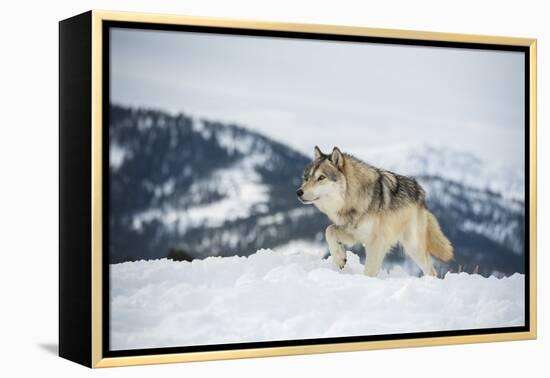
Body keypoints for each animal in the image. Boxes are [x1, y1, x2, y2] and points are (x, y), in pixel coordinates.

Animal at [300, 146, 454, 276]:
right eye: (307, 178)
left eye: (321, 177)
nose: (298, 192)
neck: (354, 199)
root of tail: (421, 193)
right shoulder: (355, 235)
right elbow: (329, 230)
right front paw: (340, 258)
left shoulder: (376, 241)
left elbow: (369, 270)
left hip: (413, 246)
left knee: (431, 270)